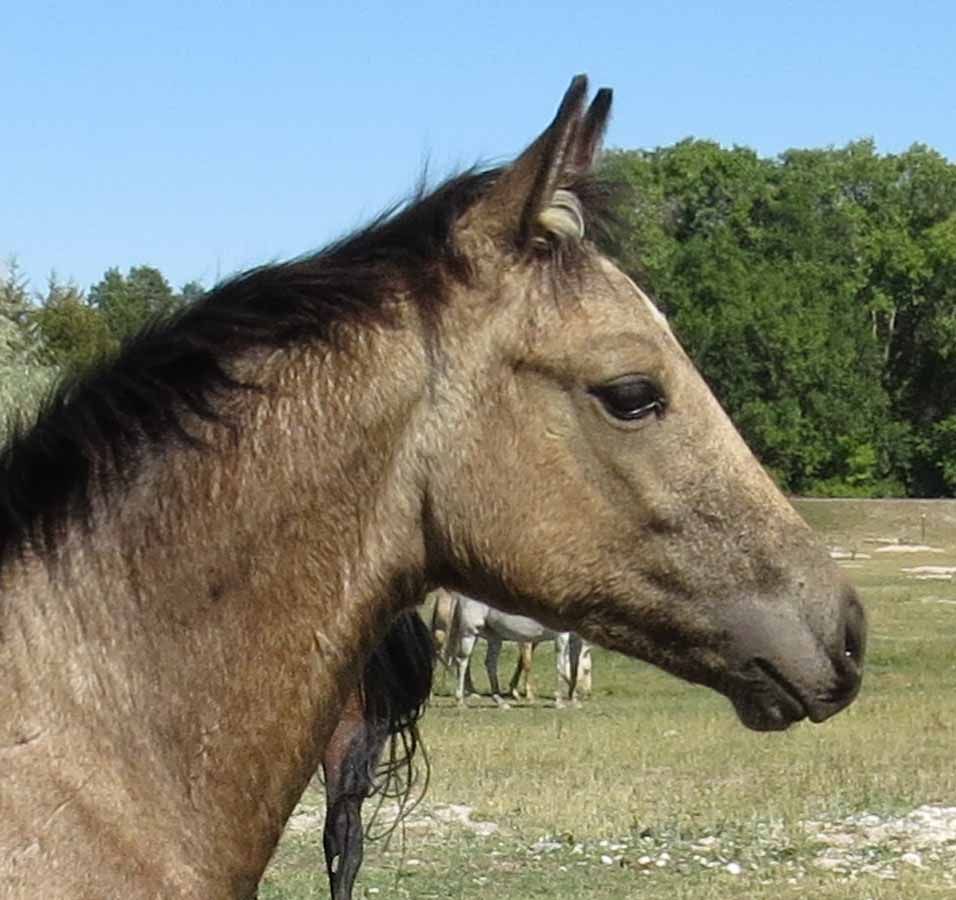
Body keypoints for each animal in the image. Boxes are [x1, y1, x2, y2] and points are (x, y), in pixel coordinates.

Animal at [443, 591, 590, 707]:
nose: (588, 694)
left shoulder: (575, 640)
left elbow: (574, 669)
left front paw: (574, 700)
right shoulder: (561, 636)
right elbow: (560, 668)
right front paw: (559, 702)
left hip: (493, 636)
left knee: (490, 663)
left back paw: (500, 701)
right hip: (470, 633)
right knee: (463, 662)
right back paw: (460, 701)